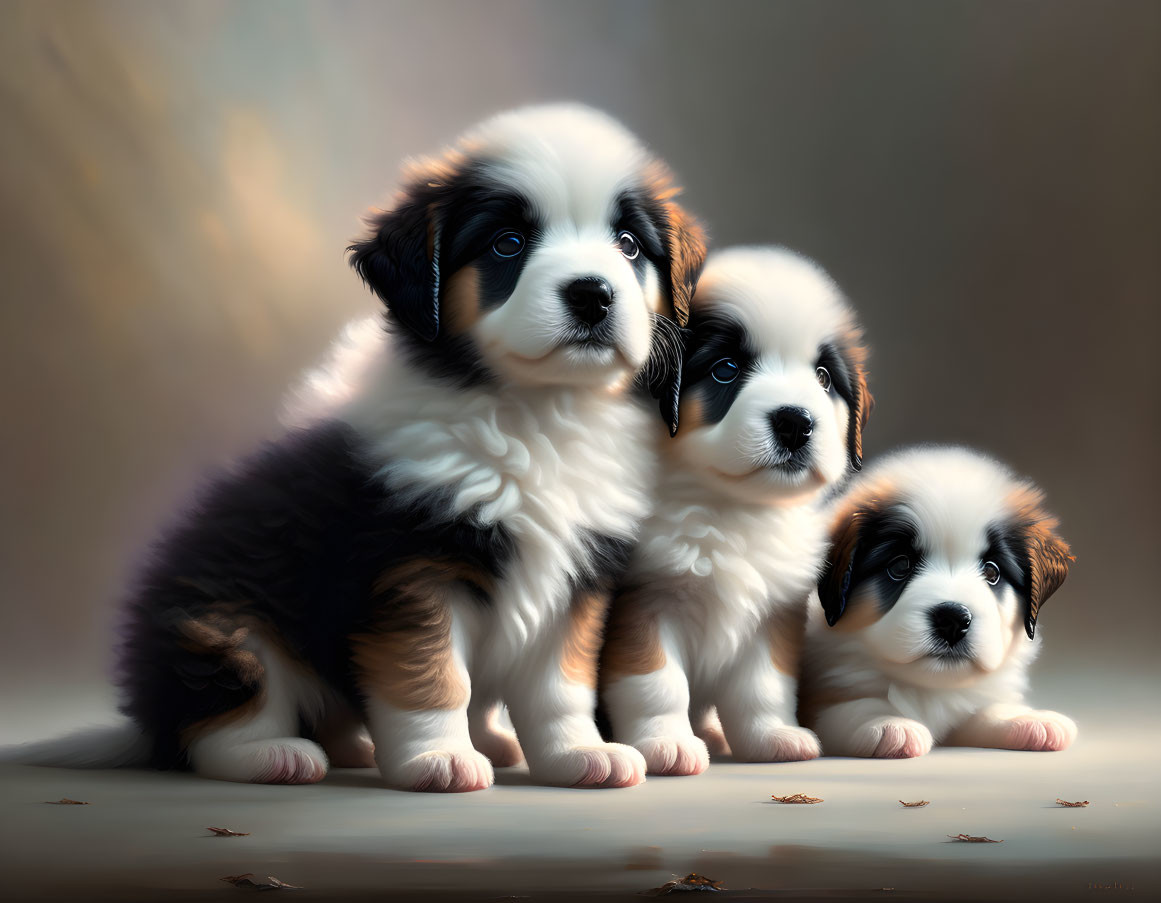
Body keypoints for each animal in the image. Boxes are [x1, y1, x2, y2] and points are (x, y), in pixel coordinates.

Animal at [18, 105, 705, 793]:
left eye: (628, 245)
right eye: (507, 244)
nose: (594, 294)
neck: (536, 411)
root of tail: (146, 720)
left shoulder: (579, 577)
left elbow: (560, 685)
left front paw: (578, 755)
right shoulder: (412, 569)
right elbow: (431, 673)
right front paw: (438, 759)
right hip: (219, 623)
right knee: (218, 722)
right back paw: (277, 755)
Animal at [599, 246, 873, 775]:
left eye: (824, 378)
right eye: (725, 369)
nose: (796, 422)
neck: (731, 507)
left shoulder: (774, 614)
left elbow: (763, 686)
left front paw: (772, 738)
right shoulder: (643, 605)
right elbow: (657, 682)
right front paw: (667, 744)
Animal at [798, 448, 1077, 752]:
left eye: (992, 572)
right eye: (900, 566)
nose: (953, 620)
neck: (931, 687)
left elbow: (984, 708)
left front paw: (1026, 719)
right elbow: (847, 707)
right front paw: (888, 723)